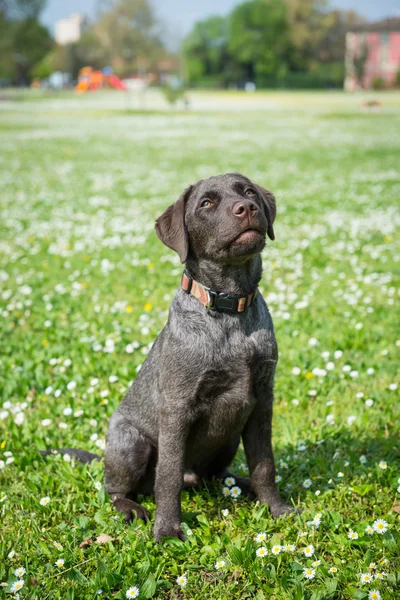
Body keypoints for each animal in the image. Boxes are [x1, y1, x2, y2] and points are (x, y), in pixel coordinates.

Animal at [43, 172, 294, 540]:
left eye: (249, 192)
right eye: (206, 203)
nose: (246, 208)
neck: (229, 311)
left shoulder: (262, 399)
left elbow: (264, 463)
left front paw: (277, 509)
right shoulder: (177, 407)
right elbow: (169, 475)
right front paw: (167, 529)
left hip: (230, 437)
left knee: (217, 476)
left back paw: (240, 486)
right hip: (131, 442)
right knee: (116, 490)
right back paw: (132, 508)